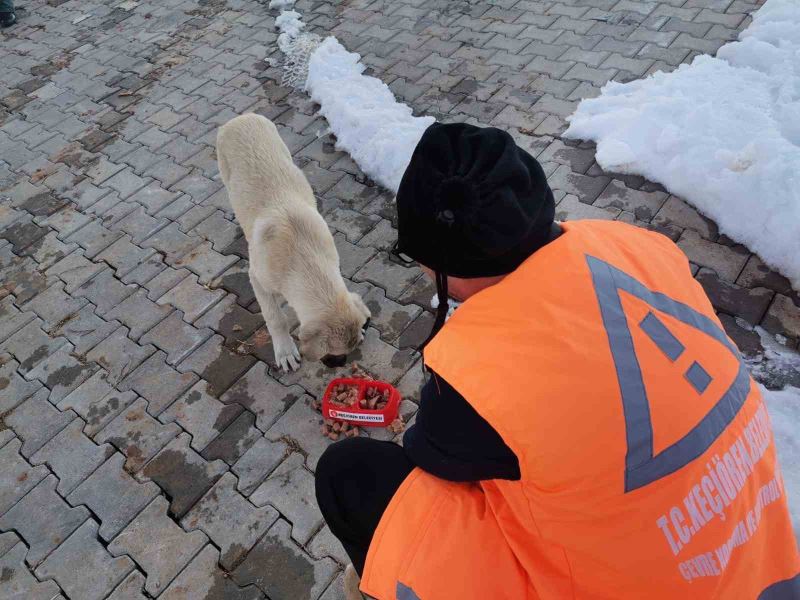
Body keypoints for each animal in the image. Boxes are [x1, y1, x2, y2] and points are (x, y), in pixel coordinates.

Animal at [217, 111, 370, 370]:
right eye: (333, 353)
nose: (339, 365)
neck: (303, 255)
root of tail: (242, 117)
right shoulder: (257, 279)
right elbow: (275, 318)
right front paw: (285, 350)